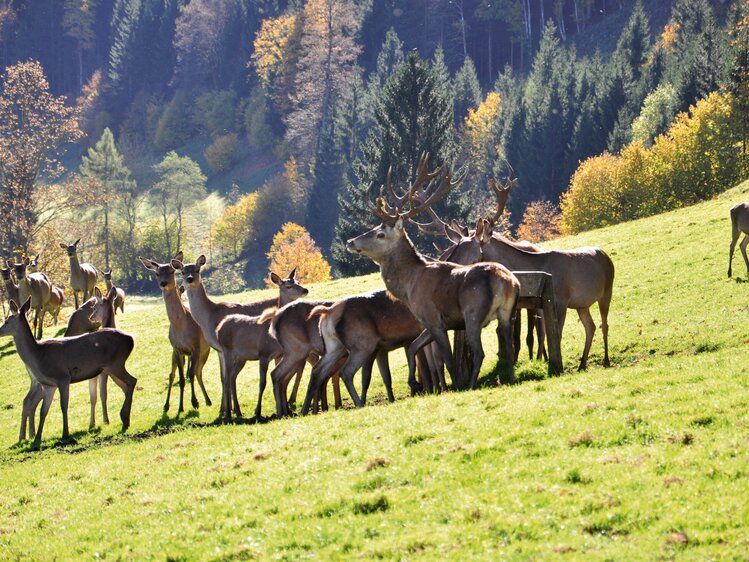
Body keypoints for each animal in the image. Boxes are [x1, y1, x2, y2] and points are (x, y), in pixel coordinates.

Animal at [1, 298, 135, 446]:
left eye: (6, 321)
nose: (0, 331)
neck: (38, 355)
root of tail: (131, 339)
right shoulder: (48, 385)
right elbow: (44, 411)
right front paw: (37, 440)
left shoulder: (63, 378)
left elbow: (63, 406)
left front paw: (65, 434)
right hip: (111, 368)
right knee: (126, 386)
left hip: (115, 363)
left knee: (132, 381)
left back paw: (124, 417)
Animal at [139, 253, 210, 412]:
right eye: (157, 273)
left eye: (172, 271)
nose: (163, 283)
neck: (180, 326)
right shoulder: (177, 349)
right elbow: (181, 379)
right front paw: (180, 407)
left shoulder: (196, 347)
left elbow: (190, 375)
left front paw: (194, 402)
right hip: (175, 354)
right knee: (172, 374)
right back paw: (166, 406)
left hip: (205, 351)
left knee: (198, 372)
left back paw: (208, 400)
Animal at [173, 256, 306, 418]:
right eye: (182, 271)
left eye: (197, 269)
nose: (190, 279)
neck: (208, 317)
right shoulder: (220, 350)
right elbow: (224, 377)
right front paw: (225, 409)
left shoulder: (223, 349)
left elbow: (226, 378)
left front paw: (227, 409)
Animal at [346, 151, 516, 392]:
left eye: (380, 233)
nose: (350, 242)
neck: (408, 288)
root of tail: (504, 281)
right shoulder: (428, 323)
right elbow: (412, 348)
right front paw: (413, 382)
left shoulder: (433, 317)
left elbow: (447, 360)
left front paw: (454, 386)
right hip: (506, 311)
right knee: (508, 347)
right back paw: (510, 379)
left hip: (473, 313)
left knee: (480, 353)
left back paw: (472, 385)